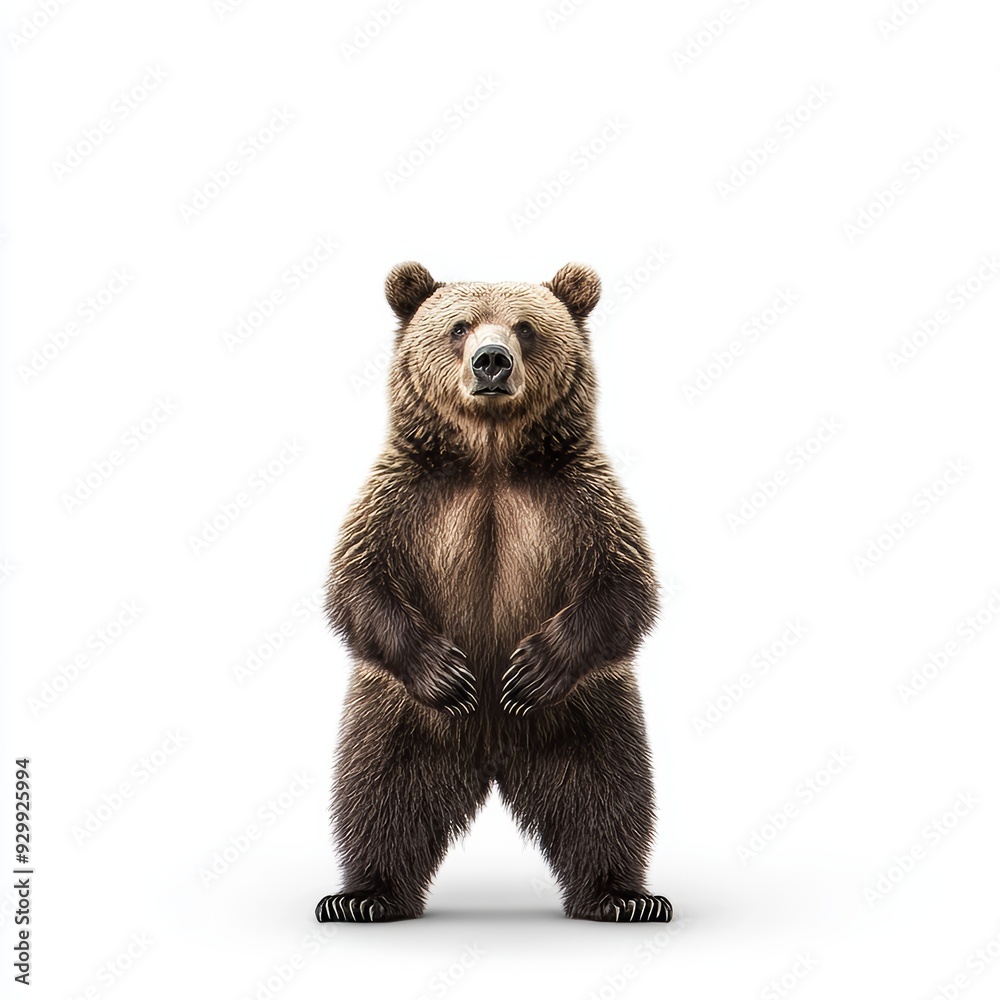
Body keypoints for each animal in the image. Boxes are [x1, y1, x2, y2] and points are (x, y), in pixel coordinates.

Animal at [315, 262, 671, 923]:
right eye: (459, 326)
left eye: (525, 326)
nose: (491, 362)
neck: (491, 456)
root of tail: (493, 758)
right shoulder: (404, 496)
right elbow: (358, 582)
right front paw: (449, 673)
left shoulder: (581, 499)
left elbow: (624, 585)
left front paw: (529, 670)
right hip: (395, 716)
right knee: (376, 793)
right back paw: (366, 896)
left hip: (590, 713)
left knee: (610, 795)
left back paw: (621, 896)